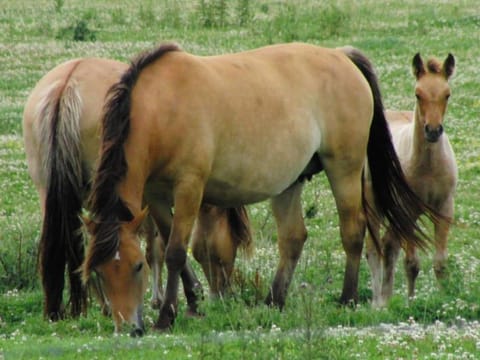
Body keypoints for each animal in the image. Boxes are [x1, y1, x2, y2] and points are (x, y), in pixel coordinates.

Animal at [22, 57, 251, 324]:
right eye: (233, 244)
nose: (221, 295)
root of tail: (67, 85)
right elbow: (158, 247)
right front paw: (167, 297)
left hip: (50, 196)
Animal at [83, 43, 438, 334]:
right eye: (99, 272)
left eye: (137, 266)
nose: (128, 328)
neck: (162, 108)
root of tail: (341, 56)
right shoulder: (155, 195)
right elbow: (176, 247)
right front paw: (194, 301)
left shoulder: (189, 188)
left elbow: (174, 252)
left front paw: (167, 315)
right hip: (291, 183)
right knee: (293, 238)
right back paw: (274, 299)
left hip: (344, 168)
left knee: (352, 230)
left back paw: (346, 298)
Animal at [366, 52, 456, 306]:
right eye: (418, 94)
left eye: (447, 94)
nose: (433, 131)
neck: (428, 166)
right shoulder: (407, 210)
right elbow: (412, 264)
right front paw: (411, 302)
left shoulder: (444, 210)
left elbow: (440, 263)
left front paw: (443, 299)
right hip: (374, 204)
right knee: (374, 248)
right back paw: (378, 301)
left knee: (389, 245)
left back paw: (386, 297)